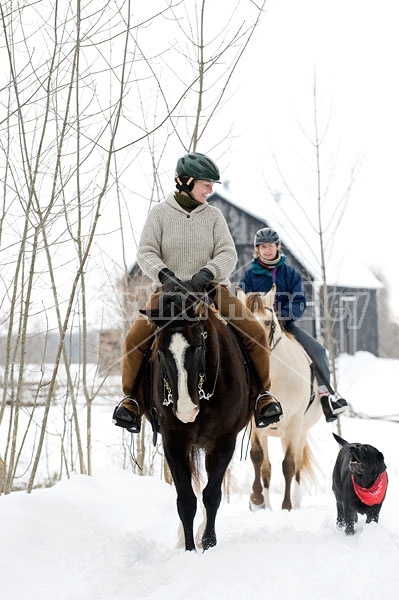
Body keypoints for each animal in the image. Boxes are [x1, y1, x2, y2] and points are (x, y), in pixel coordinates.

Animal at [140, 288, 253, 552]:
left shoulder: (224, 441)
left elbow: (211, 495)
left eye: (199, 348)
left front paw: (209, 542)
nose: (186, 411)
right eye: (160, 352)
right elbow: (186, 500)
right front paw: (190, 548)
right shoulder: (173, 441)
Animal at [238, 286, 322, 510]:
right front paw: (257, 499)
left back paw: (297, 502)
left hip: (300, 432)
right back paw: (265, 505)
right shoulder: (255, 425)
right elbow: (258, 459)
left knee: (298, 466)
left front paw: (287, 506)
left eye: (269, 322)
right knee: (267, 467)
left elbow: (289, 466)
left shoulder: (294, 424)